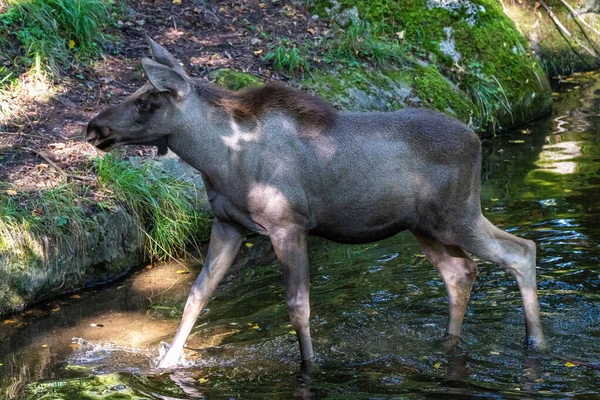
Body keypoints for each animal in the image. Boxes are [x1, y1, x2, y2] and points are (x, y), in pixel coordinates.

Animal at [86, 39, 548, 370]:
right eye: (136, 93)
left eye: (147, 102)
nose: (93, 127)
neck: (218, 159)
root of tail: (476, 139)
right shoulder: (228, 224)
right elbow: (196, 296)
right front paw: (165, 363)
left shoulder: (287, 224)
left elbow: (298, 307)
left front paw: (309, 368)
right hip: (424, 226)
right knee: (461, 272)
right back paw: (450, 341)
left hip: (458, 215)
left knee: (521, 250)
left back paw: (536, 341)